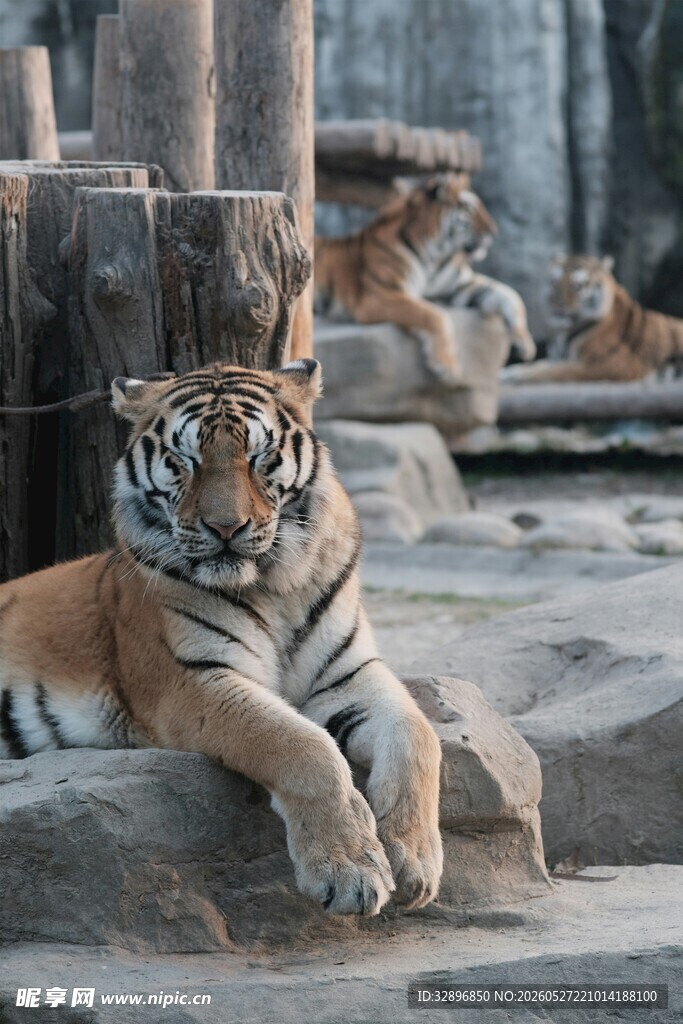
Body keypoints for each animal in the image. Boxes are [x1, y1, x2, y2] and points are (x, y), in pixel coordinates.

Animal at [0, 360, 442, 916]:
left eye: (261, 458)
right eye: (183, 461)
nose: (226, 528)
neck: (276, 583)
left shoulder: (347, 675)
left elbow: (417, 734)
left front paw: (415, 860)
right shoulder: (191, 683)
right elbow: (303, 746)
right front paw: (349, 872)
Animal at [314, 172, 536, 384]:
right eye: (469, 208)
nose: (494, 231)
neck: (435, 255)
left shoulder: (459, 286)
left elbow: (510, 294)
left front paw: (525, 343)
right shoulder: (382, 295)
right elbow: (433, 314)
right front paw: (447, 366)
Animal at [502, 254, 683, 383]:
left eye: (577, 286)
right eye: (554, 282)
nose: (557, 304)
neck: (565, 332)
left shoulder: (615, 363)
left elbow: (559, 370)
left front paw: (512, 375)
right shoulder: (560, 357)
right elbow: (541, 364)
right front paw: (511, 370)